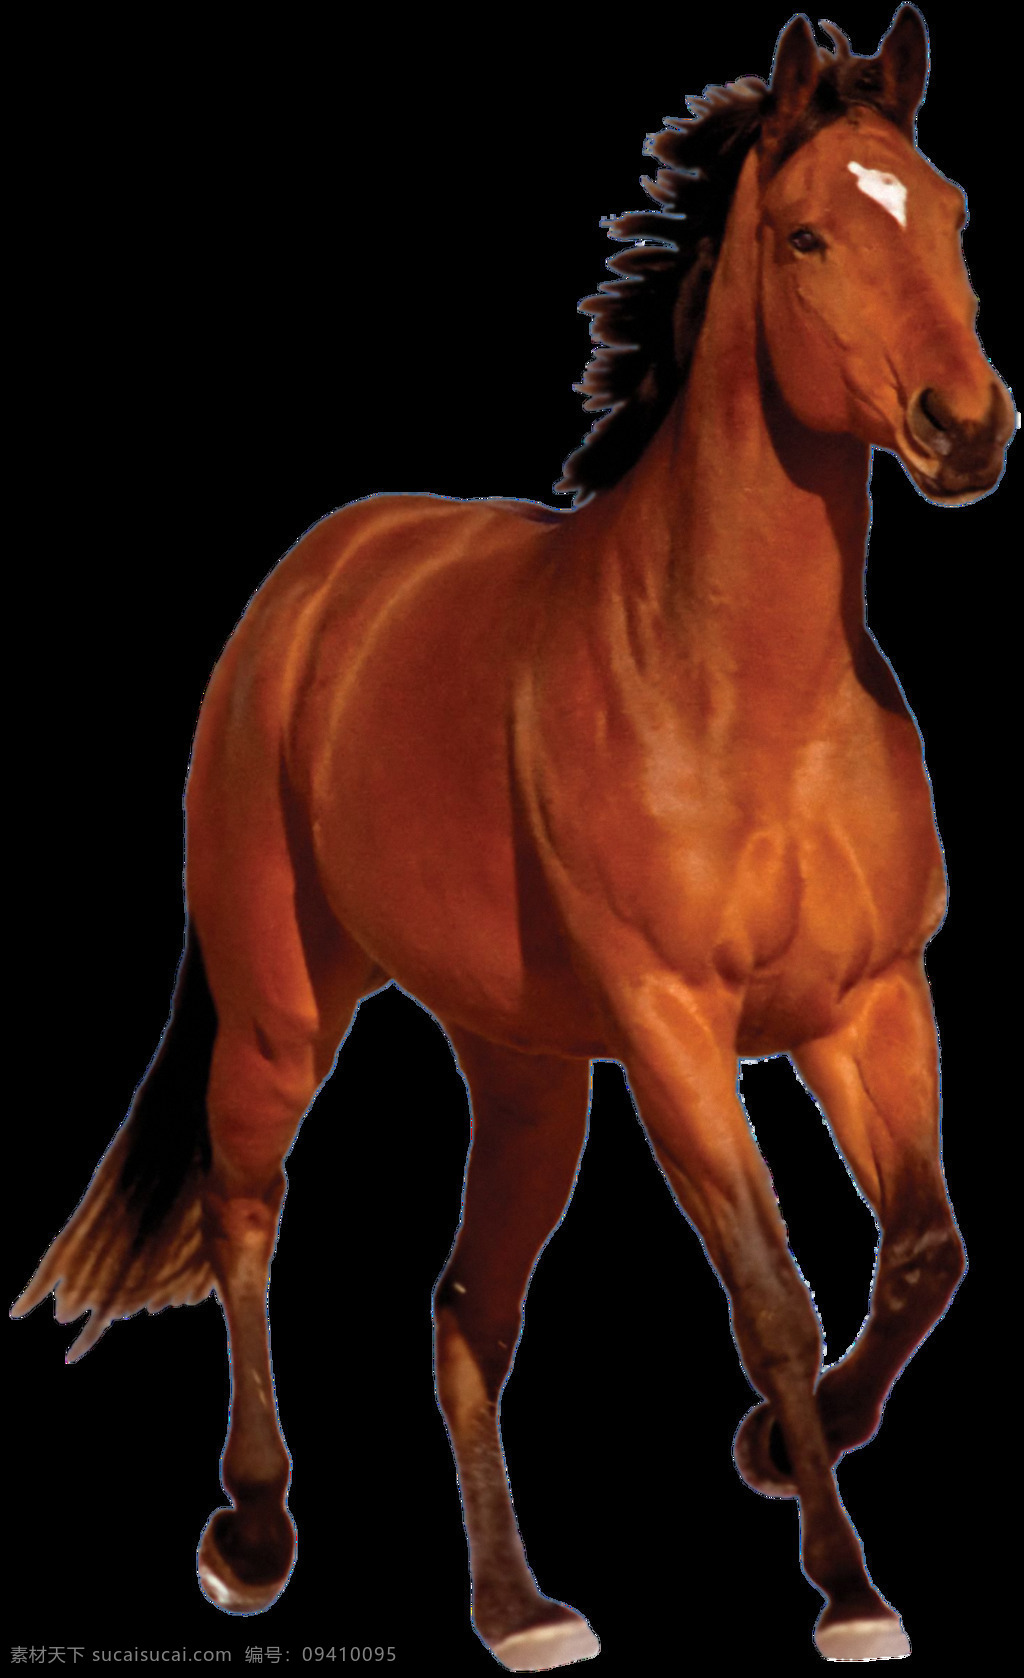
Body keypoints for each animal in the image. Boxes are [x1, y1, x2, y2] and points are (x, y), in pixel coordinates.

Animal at [14, 5, 1014, 1665]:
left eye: (947, 215)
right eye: (810, 235)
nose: (969, 429)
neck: (742, 688)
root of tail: (312, 588)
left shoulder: (868, 1002)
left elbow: (928, 1251)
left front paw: (776, 1448)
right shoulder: (676, 1027)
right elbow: (773, 1291)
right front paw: (847, 1585)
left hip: (528, 1071)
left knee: (466, 1308)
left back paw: (517, 1607)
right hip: (285, 1013)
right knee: (246, 1214)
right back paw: (254, 1533)